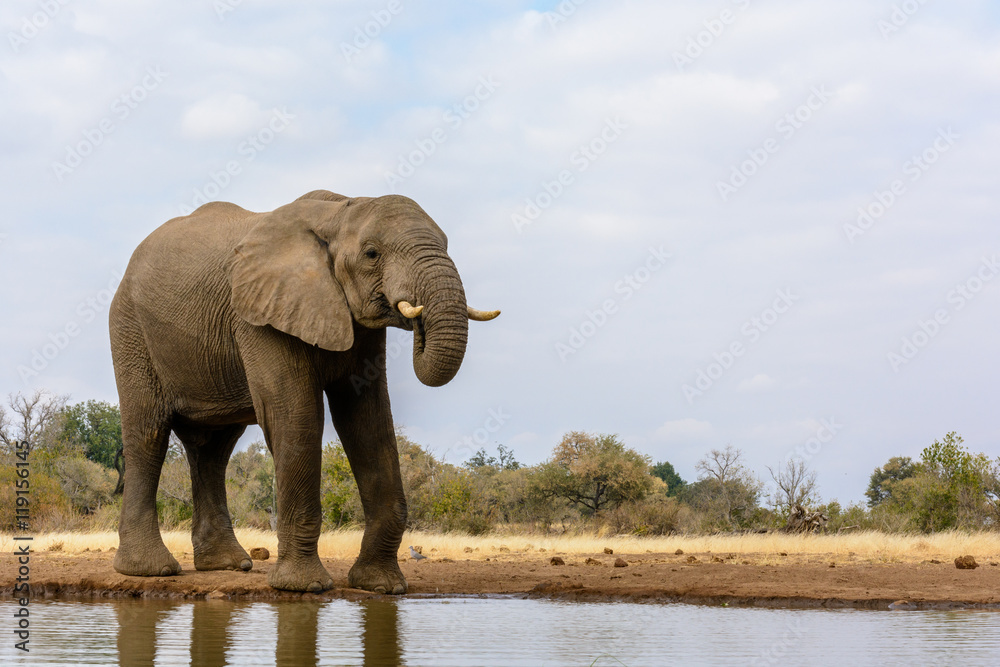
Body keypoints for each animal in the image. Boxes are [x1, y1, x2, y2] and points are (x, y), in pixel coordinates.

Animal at [109, 190, 498, 593]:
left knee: (213, 450)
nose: (417, 318)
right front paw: (304, 587)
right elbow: (295, 416)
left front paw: (381, 586)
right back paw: (149, 570)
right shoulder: (261, 314)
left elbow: (368, 421)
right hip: (130, 330)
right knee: (148, 435)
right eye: (372, 253)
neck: (337, 212)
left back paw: (227, 565)